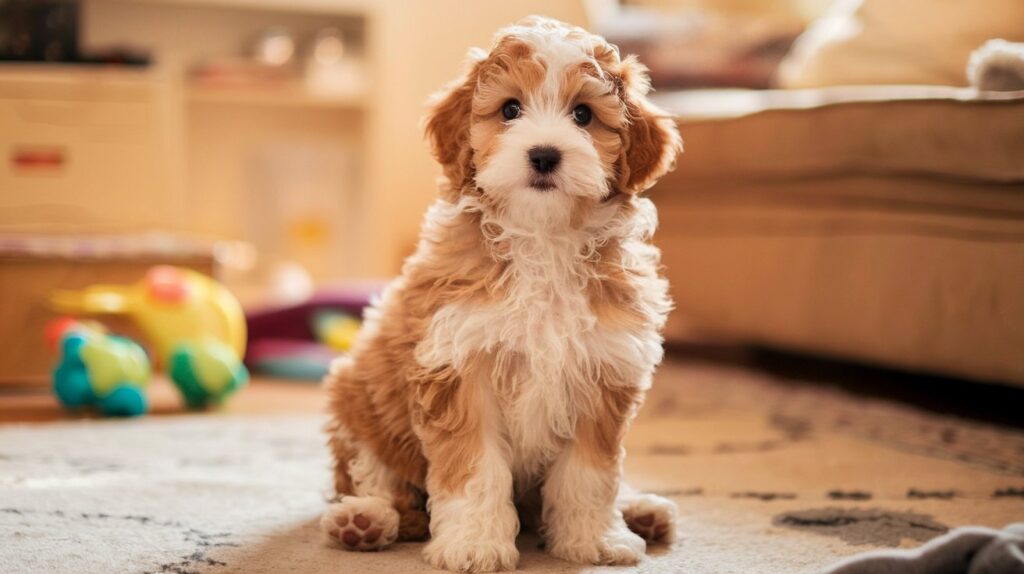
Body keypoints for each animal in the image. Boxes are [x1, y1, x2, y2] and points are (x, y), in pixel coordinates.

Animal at [321, 15, 679, 568]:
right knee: (376, 480)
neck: (543, 239)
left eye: (583, 115)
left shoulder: (604, 371)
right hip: (358, 398)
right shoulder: (459, 367)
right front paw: (474, 545)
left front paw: (594, 540)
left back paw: (643, 510)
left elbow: (590, 474)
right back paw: (363, 521)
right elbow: (475, 471)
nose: (545, 155)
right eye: (510, 109)